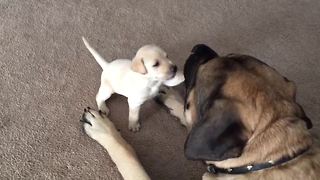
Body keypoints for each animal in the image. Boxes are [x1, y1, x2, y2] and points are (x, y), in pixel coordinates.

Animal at [80, 44, 320, 179]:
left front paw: (104, 130)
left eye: (201, 71)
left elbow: (128, 153)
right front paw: (168, 95)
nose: (198, 47)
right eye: (228, 55)